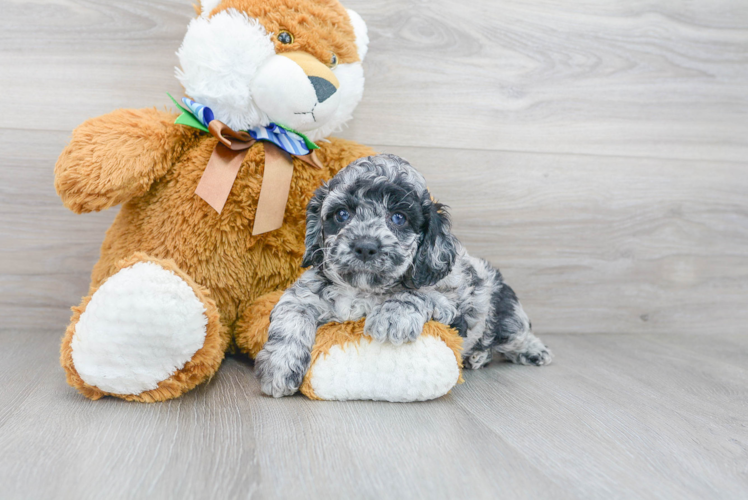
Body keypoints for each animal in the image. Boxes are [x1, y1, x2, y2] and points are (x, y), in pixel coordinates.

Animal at [254, 154, 552, 396]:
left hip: (506, 316)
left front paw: (392, 316)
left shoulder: (452, 305)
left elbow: (417, 294)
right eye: (341, 214)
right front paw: (279, 367)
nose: (365, 246)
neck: (363, 290)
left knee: (518, 333)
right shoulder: (305, 294)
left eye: (398, 218)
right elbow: (290, 316)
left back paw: (534, 352)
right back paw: (477, 357)